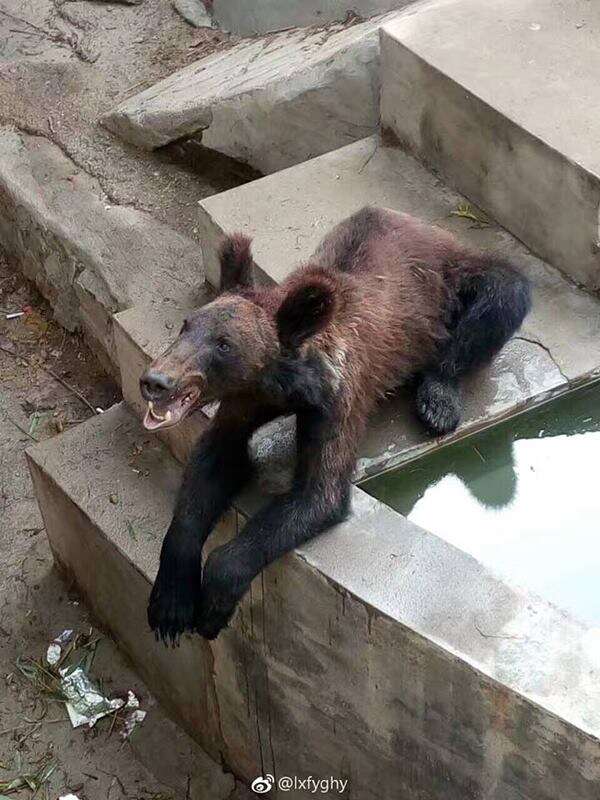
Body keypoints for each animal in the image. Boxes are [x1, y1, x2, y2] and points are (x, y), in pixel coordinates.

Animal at [139, 206, 531, 643]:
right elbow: (214, 461)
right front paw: (171, 603)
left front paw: (212, 605)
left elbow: (318, 494)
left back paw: (437, 401)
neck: (285, 385)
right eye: (186, 325)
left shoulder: (337, 399)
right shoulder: (245, 402)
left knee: (503, 293)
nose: (156, 381)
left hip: (456, 276)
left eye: (223, 344)